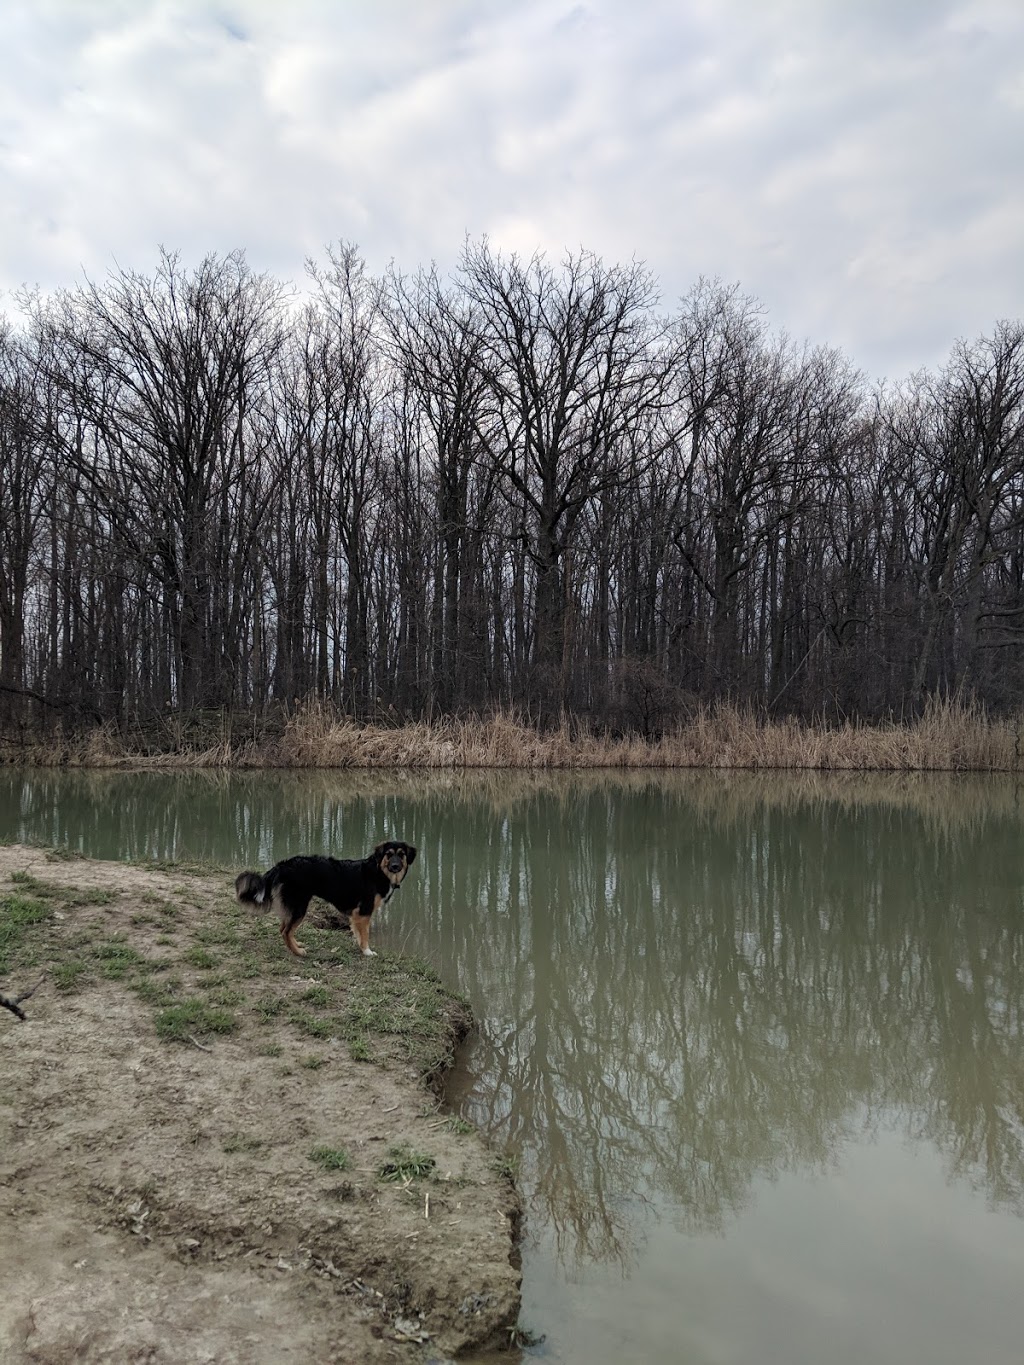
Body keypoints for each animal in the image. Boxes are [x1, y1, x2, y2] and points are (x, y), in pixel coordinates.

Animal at [236, 840, 417, 960]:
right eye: (389, 855)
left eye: (401, 855)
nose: (395, 866)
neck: (379, 872)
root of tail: (282, 865)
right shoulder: (364, 911)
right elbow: (365, 935)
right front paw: (367, 952)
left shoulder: (357, 915)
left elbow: (358, 933)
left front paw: (361, 948)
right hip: (299, 906)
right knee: (286, 931)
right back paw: (298, 952)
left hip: (294, 906)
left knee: (283, 929)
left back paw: (297, 946)